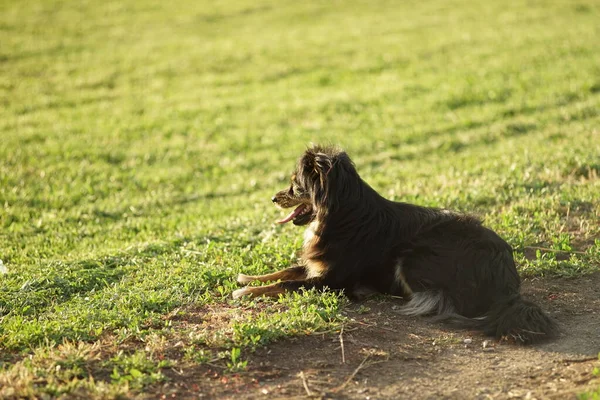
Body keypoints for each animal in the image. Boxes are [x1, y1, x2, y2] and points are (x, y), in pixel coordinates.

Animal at [233, 145, 556, 342]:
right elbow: (284, 271)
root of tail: (509, 284)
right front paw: (247, 278)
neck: (340, 214)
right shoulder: (318, 266)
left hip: (413, 256)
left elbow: (288, 283)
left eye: (295, 185)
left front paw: (247, 292)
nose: (273, 198)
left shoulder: (334, 280)